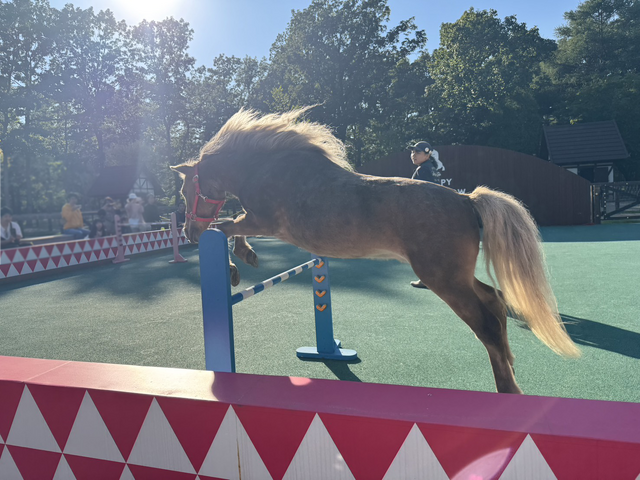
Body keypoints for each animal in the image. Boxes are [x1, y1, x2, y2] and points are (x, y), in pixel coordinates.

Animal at [171, 107, 580, 394]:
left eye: (186, 191)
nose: (189, 233)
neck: (267, 167)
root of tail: (467, 200)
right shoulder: (262, 222)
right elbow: (229, 225)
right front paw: (244, 260)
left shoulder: (265, 221)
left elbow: (226, 226)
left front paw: (238, 264)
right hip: (455, 277)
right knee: (494, 300)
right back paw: (509, 365)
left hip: (444, 280)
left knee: (486, 324)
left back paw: (507, 388)